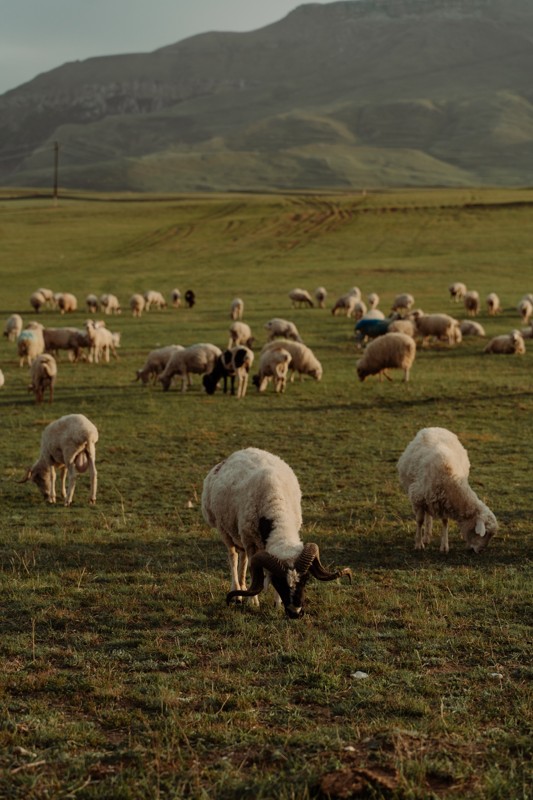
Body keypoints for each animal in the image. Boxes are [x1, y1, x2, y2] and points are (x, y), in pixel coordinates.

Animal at [200, 446, 350, 616]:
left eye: (306, 579)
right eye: (278, 581)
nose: (295, 612)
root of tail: (240, 451)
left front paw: (277, 604)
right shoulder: (250, 542)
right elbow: (252, 572)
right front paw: (253, 602)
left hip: (241, 534)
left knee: (243, 559)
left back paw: (243, 589)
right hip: (225, 531)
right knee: (233, 558)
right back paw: (237, 593)